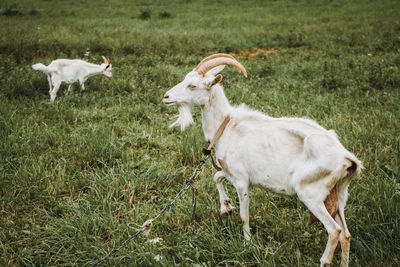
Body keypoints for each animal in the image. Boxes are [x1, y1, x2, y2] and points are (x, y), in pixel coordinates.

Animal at [162, 53, 362, 266]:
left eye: (192, 86)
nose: (166, 97)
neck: (226, 126)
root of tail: (347, 159)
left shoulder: (241, 180)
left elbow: (243, 216)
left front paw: (247, 244)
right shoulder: (231, 172)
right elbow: (216, 177)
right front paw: (226, 207)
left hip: (311, 194)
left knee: (335, 231)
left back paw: (324, 260)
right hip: (339, 194)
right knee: (346, 234)